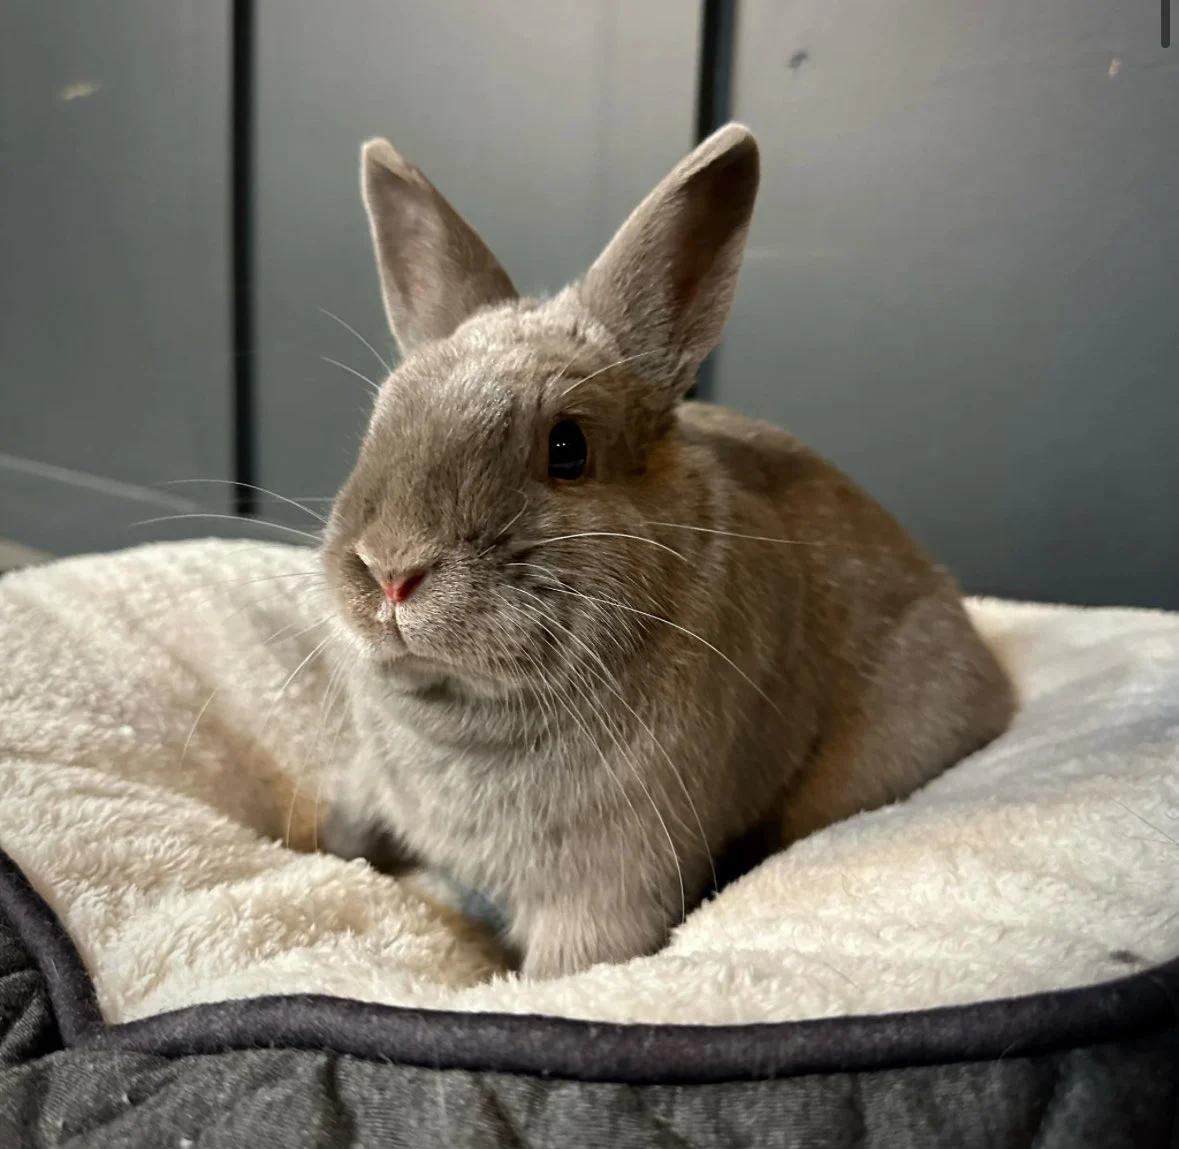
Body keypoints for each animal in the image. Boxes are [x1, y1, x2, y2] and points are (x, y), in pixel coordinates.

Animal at [318, 123, 1016, 980]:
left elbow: (568, 966)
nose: (391, 571)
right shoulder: (367, 780)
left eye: (567, 447)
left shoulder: (606, 888)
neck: (465, 708)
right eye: (381, 418)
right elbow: (346, 827)